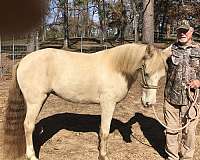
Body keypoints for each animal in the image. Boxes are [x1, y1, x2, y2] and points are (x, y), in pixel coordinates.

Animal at [2, 42, 169, 160]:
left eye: (162, 76)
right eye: (146, 72)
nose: (149, 103)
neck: (116, 67)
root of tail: (23, 60)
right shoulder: (108, 104)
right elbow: (105, 131)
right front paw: (103, 156)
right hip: (35, 101)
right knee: (28, 125)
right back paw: (32, 156)